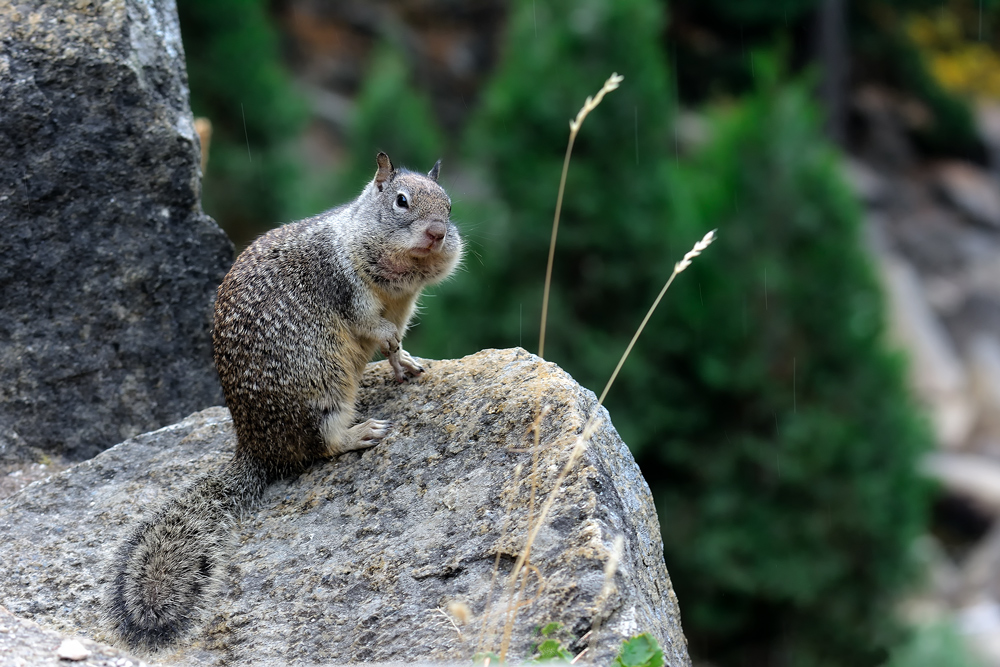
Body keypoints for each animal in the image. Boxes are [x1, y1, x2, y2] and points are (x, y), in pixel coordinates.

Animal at [103, 153, 462, 652]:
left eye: (449, 205)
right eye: (401, 201)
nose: (437, 233)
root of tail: (257, 449)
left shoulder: (406, 303)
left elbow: (397, 340)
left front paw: (405, 361)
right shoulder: (346, 287)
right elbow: (371, 325)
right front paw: (391, 347)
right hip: (324, 383)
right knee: (322, 444)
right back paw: (360, 431)